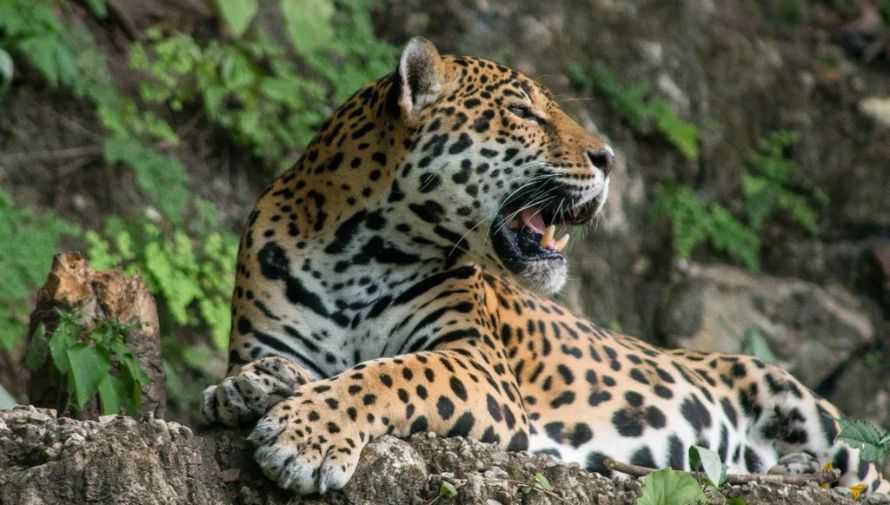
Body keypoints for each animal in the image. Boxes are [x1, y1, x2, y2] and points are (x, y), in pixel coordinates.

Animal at [200, 36, 889, 495]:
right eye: (524, 111)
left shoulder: (477, 364)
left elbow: (387, 375)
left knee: (866, 466)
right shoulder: (271, 334)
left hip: (803, 405)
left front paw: (304, 436)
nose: (609, 157)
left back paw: (798, 468)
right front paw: (248, 388)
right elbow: (271, 370)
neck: (359, 251)